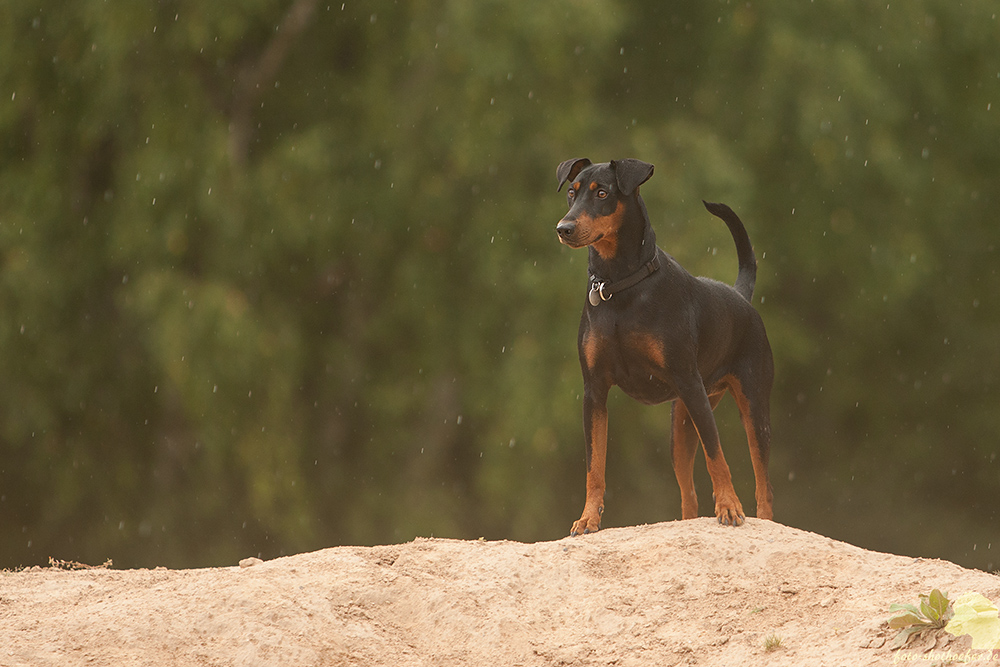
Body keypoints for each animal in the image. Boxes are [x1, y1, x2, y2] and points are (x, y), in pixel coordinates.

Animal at [556, 158, 772, 536]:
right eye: (571, 191)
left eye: (603, 193)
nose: (563, 228)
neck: (619, 285)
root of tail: (741, 297)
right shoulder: (594, 391)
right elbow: (594, 466)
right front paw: (588, 518)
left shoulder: (688, 380)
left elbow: (717, 454)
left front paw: (729, 506)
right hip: (681, 424)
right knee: (688, 494)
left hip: (748, 406)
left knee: (764, 486)